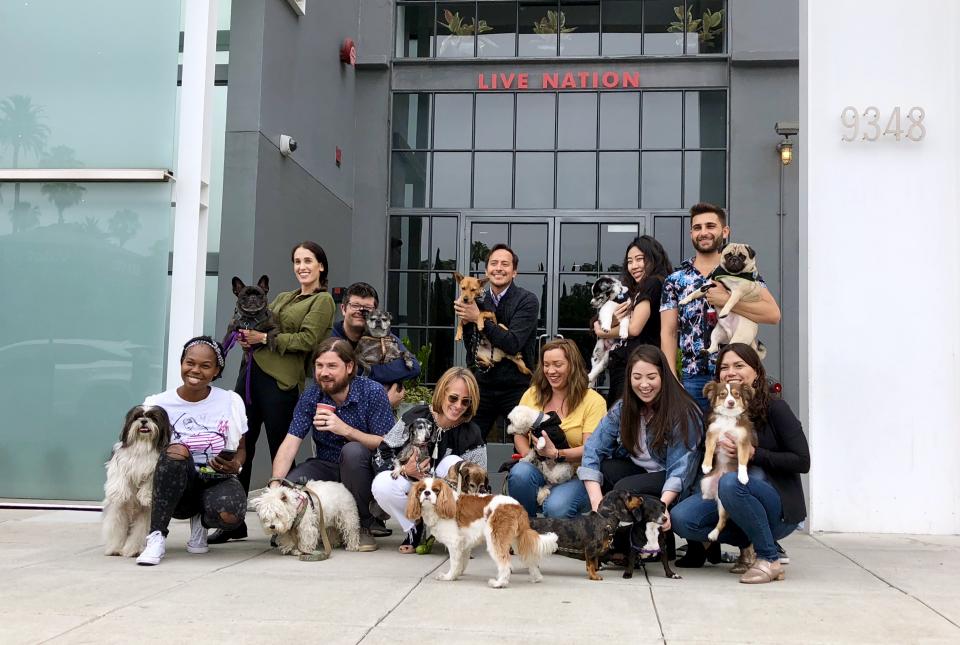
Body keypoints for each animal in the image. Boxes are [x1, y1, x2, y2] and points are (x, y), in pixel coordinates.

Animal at [102, 406, 172, 556]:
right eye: (137, 416)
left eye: (153, 417)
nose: (144, 421)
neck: (142, 445)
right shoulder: (120, 460)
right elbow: (119, 475)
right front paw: (118, 493)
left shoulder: (155, 466)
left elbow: (149, 481)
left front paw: (145, 496)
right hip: (117, 514)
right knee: (118, 531)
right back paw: (115, 548)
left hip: (144, 518)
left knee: (137, 533)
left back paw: (132, 550)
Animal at [406, 476, 560, 588]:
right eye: (421, 489)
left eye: (435, 490)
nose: (427, 493)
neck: (440, 507)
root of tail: (517, 506)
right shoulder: (464, 544)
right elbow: (462, 562)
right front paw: (457, 574)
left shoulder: (454, 543)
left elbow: (454, 563)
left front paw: (449, 577)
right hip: (517, 540)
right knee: (530, 558)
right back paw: (536, 578)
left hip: (495, 540)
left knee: (505, 563)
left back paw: (499, 583)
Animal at [696, 382, 756, 544]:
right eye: (722, 394)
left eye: (736, 394)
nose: (731, 402)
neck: (728, 419)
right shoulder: (712, 434)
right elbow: (709, 449)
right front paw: (706, 466)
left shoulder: (743, 441)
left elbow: (742, 459)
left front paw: (743, 476)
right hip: (705, 483)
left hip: (724, 504)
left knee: (722, 521)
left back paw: (713, 534)